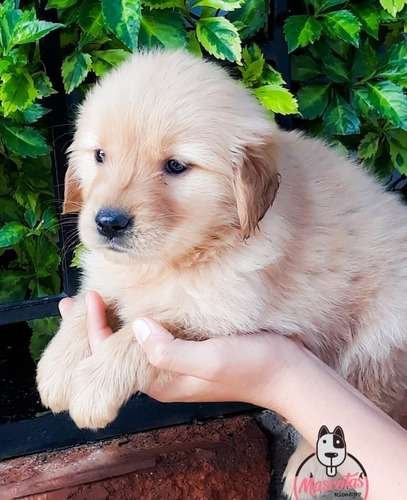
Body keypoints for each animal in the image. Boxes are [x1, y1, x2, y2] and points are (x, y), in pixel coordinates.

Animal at [36, 49, 407, 494]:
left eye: (176, 166)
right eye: (100, 156)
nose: (108, 222)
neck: (172, 259)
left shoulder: (218, 314)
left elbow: (137, 337)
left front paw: (93, 386)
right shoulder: (110, 279)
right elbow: (83, 309)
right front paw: (56, 369)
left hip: (381, 332)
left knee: (373, 394)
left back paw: (309, 467)